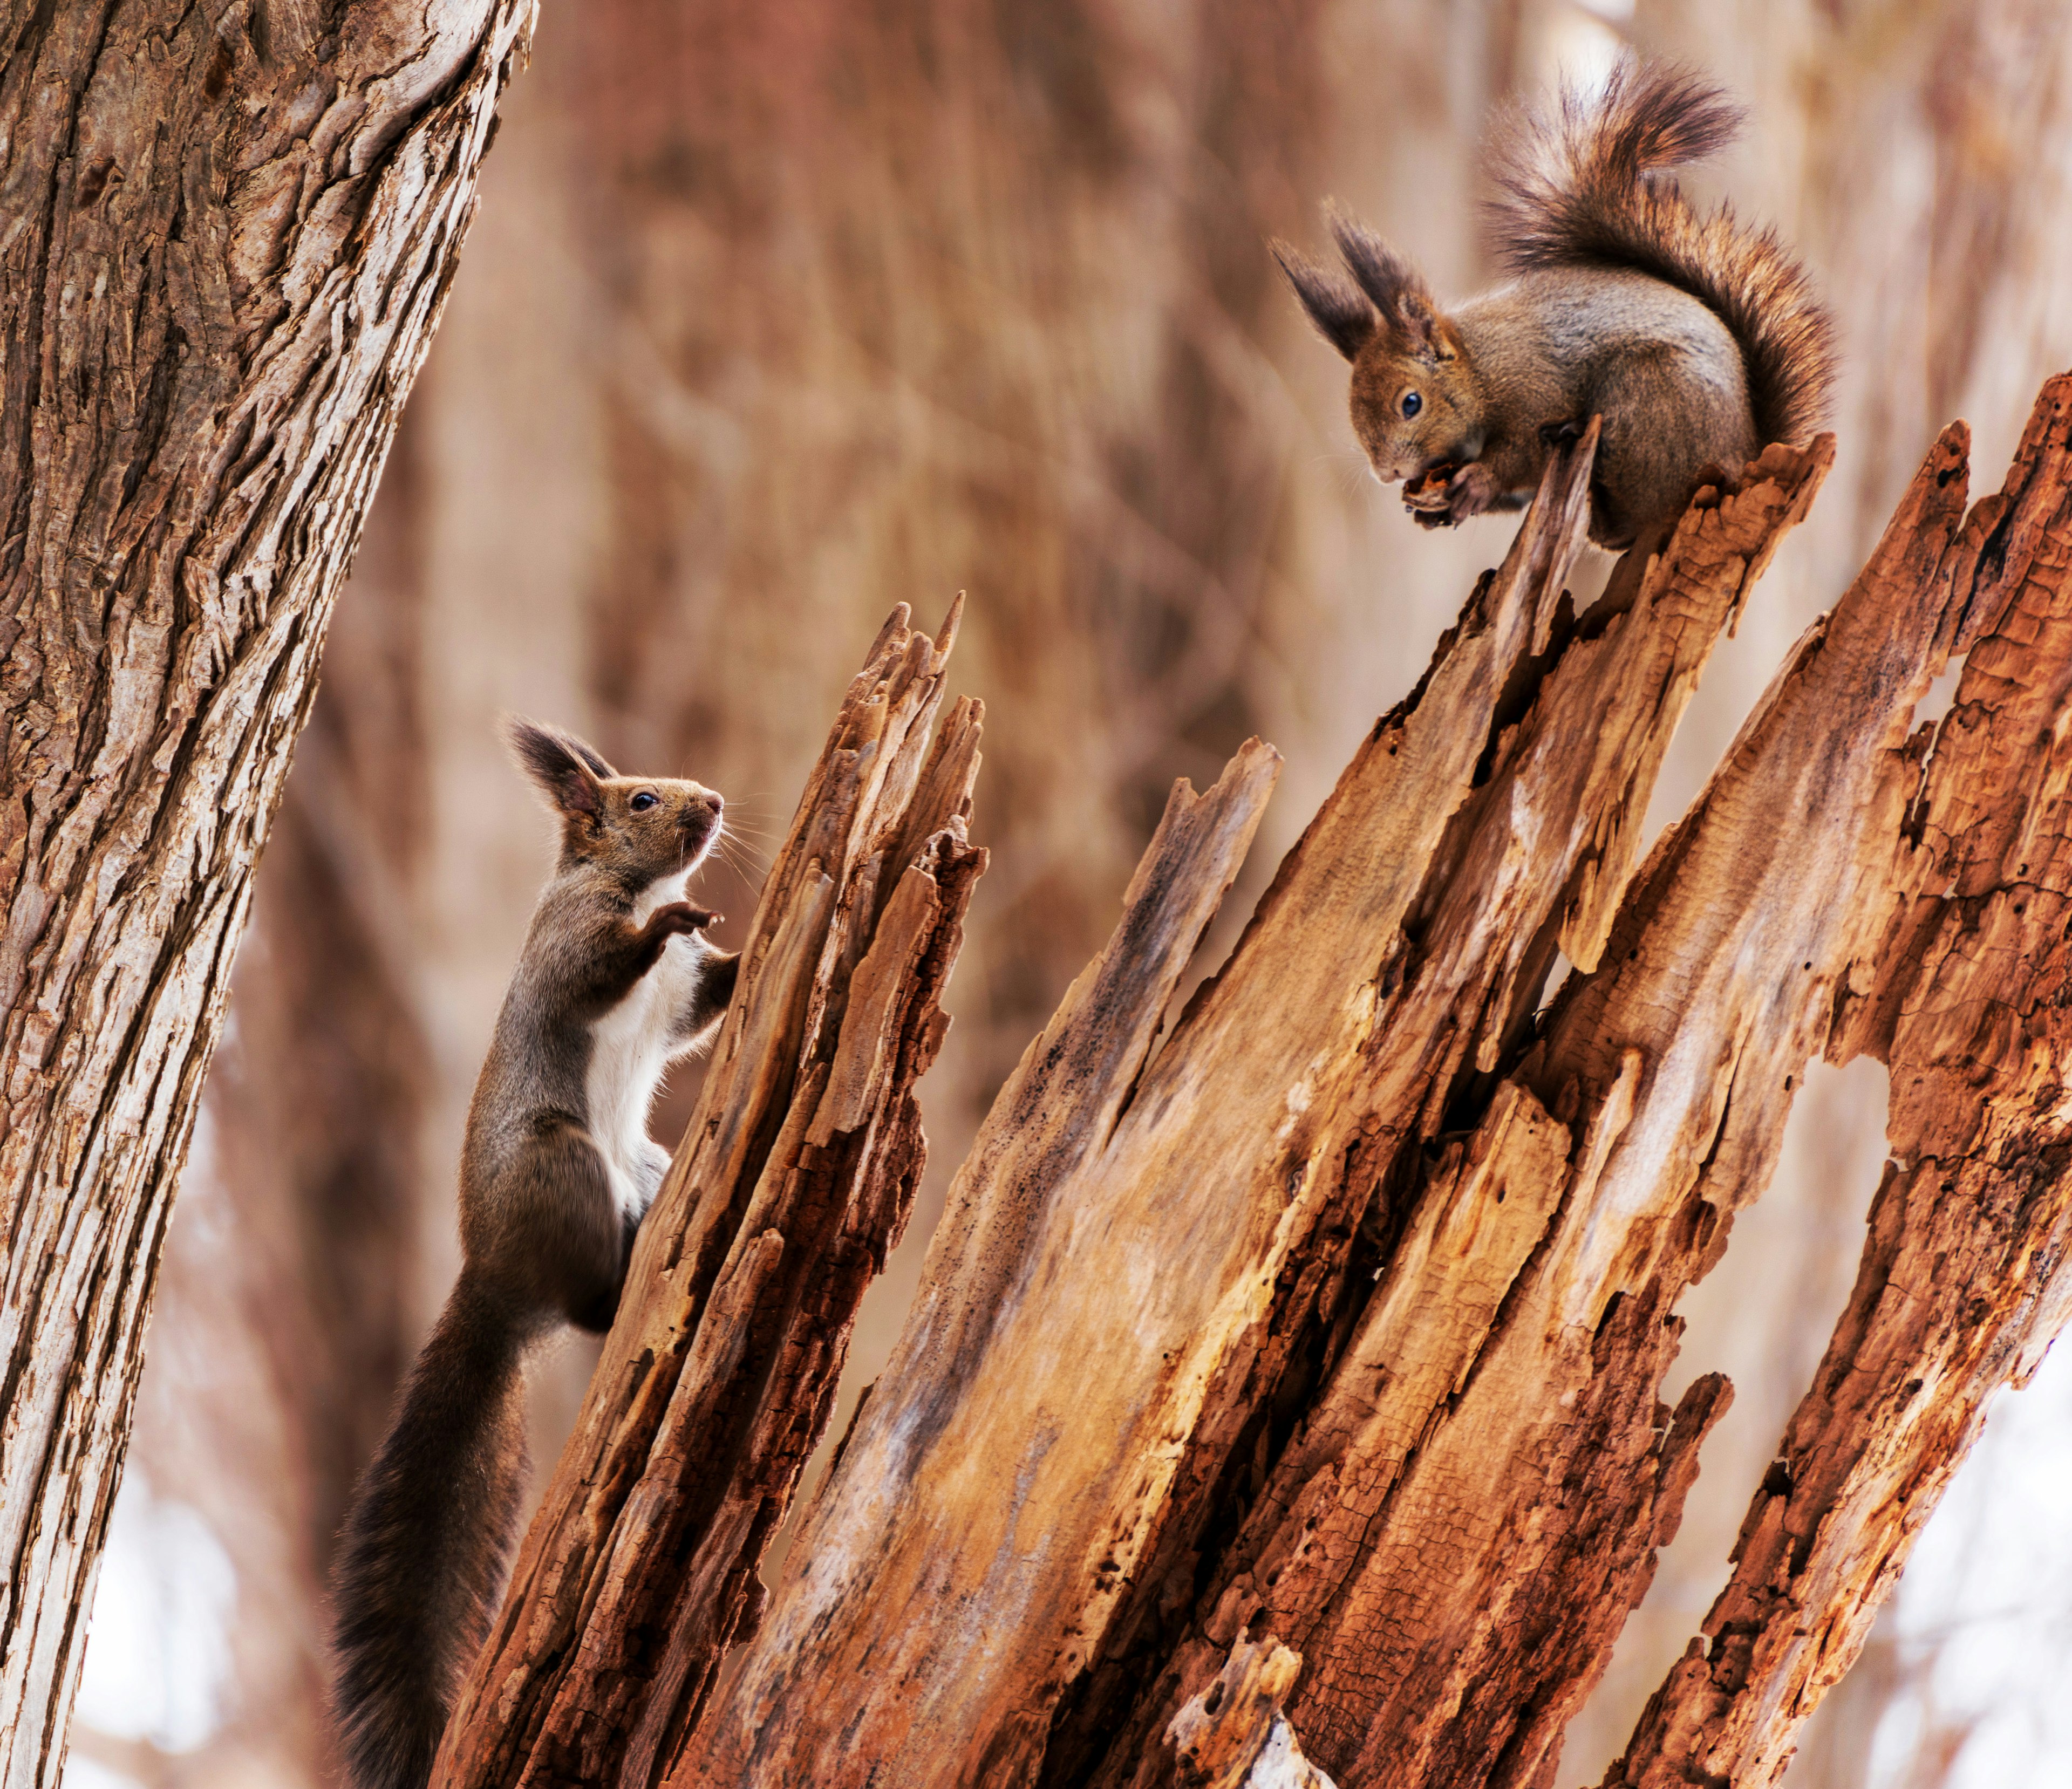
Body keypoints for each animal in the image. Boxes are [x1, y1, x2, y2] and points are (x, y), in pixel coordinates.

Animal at [327, 720, 741, 1789]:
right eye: (641, 800)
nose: (715, 802)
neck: (619, 883)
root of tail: (496, 1281)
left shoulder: (681, 1000)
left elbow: (705, 1007)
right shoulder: (569, 945)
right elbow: (603, 972)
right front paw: (671, 919)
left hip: (641, 1164)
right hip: (564, 1164)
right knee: (591, 1310)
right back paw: (627, 1280)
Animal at [1268, 59, 1839, 547]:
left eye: (1411, 403)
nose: (1387, 474)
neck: (1479, 369)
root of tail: (1744, 457)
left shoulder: (1534, 389)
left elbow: (1518, 454)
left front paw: (1477, 483)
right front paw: (1434, 510)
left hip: (1648, 399)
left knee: (1629, 523)